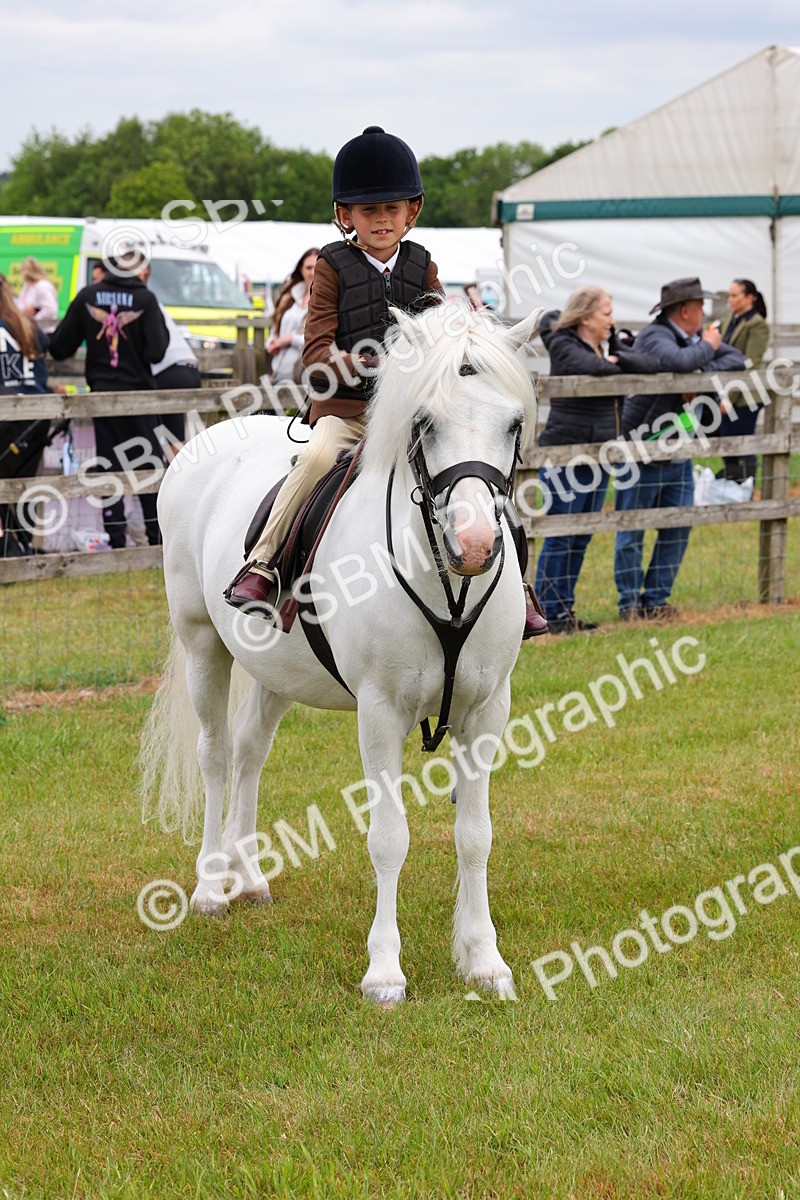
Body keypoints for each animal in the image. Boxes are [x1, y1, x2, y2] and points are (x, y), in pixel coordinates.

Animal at [141, 302, 539, 1005]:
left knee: (249, 752)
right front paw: (385, 972)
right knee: (216, 756)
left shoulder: (486, 710)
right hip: (201, 645)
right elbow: (388, 838)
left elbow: (475, 836)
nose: (473, 545)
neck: (443, 579)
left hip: (276, 673)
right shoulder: (380, 713)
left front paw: (484, 961)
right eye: (424, 422)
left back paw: (250, 879)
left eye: (513, 424)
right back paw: (212, 887)